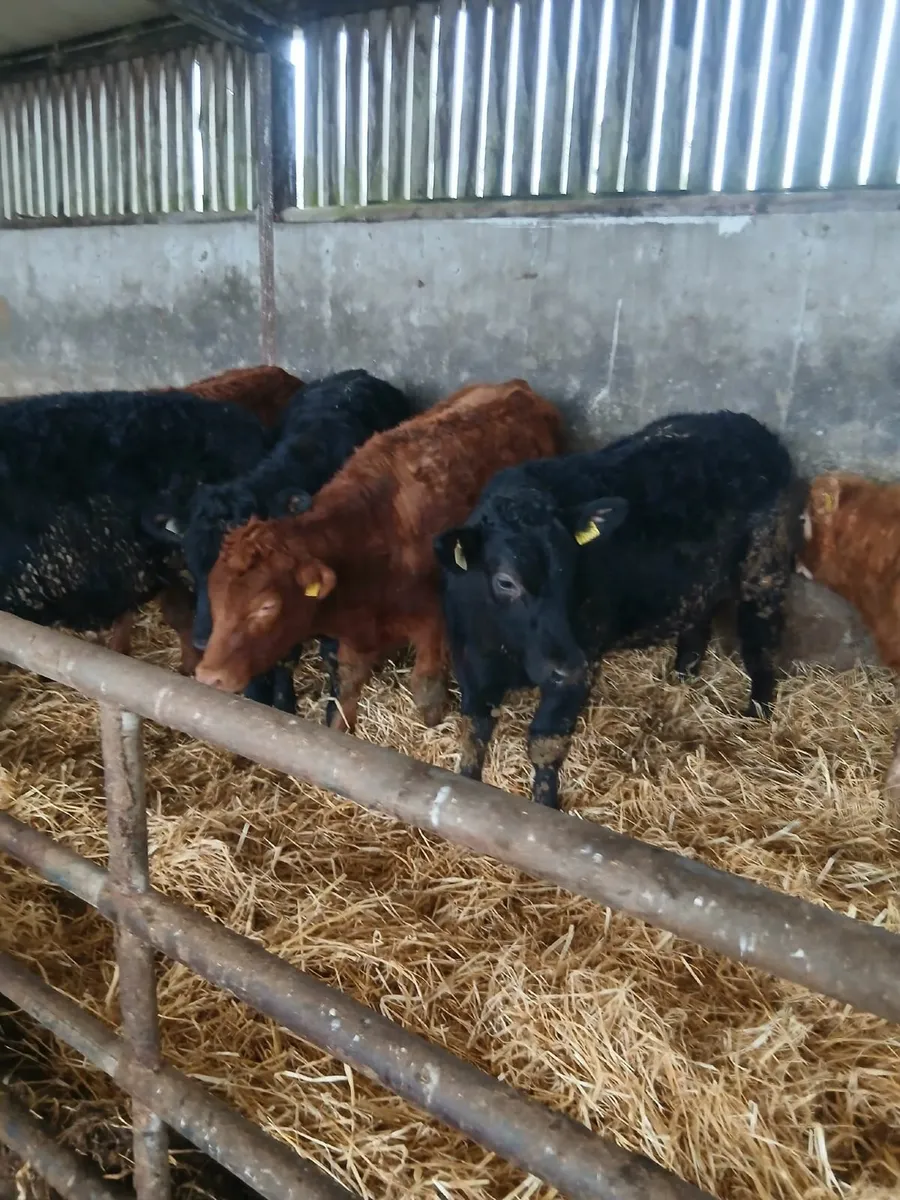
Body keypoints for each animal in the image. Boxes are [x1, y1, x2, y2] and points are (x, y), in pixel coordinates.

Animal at [194, 380, 564, 731]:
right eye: (214, 596)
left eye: (266, 606)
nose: (209, 675)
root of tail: (518, 388)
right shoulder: (355, 636)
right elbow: (346, 689)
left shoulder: (435, 621)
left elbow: (426, 688)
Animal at [434, 410, 798, 808]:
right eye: (505, 581)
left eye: (572, 569)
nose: (567, 664)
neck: (506, 646)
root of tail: (748, 426)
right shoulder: (470, 664)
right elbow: (474, 732)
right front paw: (464, 790)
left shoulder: (582, 666)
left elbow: (546, 741)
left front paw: (544, 808)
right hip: (698, 584)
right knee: (697, 626)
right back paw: (681, 679)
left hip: (765, 575)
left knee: (762, 644)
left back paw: (758, 715)